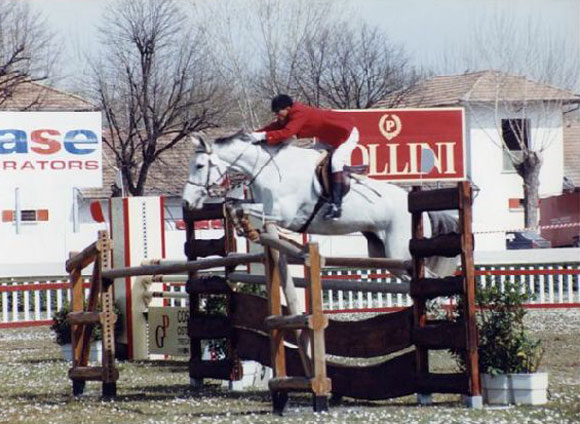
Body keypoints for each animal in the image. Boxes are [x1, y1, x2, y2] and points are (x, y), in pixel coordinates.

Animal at [181, 132, 458, 278]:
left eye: (200, 166)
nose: (186, 201)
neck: (269, 168)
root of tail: (413, 204)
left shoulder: (282, 215)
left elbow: (244, 207)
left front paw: (247, 228)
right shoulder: (263, 204)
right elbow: (233, 204)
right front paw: (245, 228)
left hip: (399, 251)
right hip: (383, 253)